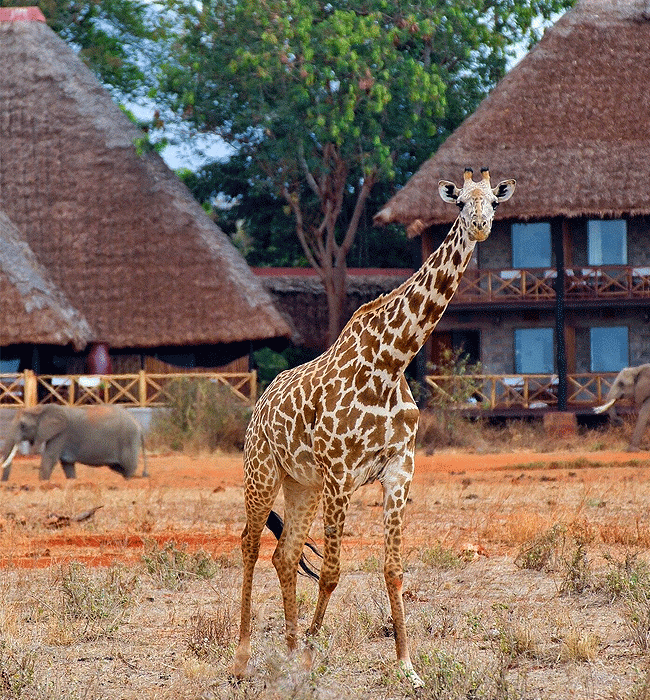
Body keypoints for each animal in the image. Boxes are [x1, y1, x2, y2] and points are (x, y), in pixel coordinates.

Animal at [0, 404, 148, 482]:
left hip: (128, 439)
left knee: (128, 467)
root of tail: (139, 425)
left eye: (23, 426)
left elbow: (49, 458)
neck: (40, 408)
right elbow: (67, 464)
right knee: (119, 467)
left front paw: (43, 483)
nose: (4, 483)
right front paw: (72, 482)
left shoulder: (61, 433)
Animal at [232, 167, 512, 688]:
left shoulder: (399, 470)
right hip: (262, 472)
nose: (481, 225)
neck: (391, 361)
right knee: (249, 544)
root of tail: (258, 407)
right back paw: (242, 660)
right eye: (460, 202)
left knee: (284, 554)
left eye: (494, 203)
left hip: (302, 484)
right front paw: (313, 651)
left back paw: (288, 650)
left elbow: (393, 569)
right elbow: (332, 572)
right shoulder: (341, 474)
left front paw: (408, 667)